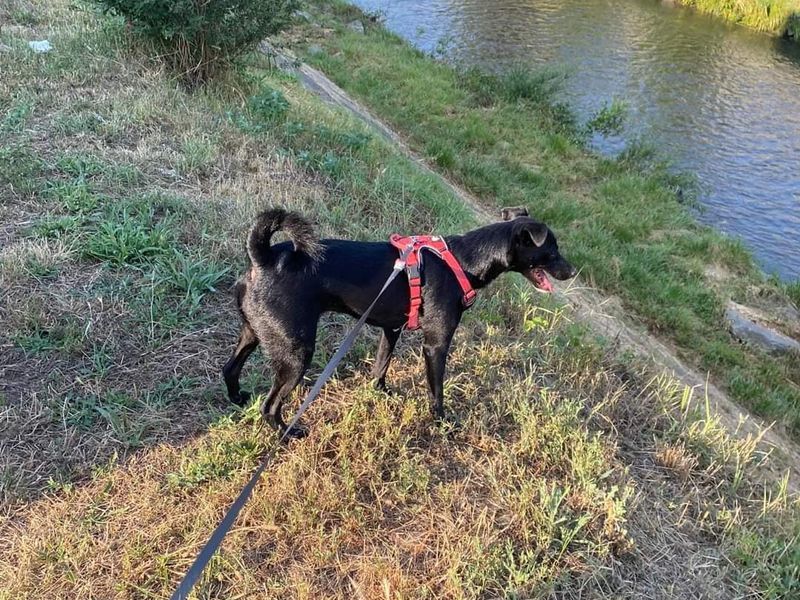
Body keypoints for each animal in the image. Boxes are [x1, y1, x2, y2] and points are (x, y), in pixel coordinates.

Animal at [222, 206, 580, 436]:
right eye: (552, 252)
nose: (573, 271)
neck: (463, 260)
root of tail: (263, 258)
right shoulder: (436, 345)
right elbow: (437, 392)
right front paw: (443, 424)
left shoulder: (390, 329)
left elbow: (381, 366)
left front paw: (380, 393)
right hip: (296, 352)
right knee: (270, 406)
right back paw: (288, 431)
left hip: (255, 332)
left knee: (230, 368)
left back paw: (238, 398)